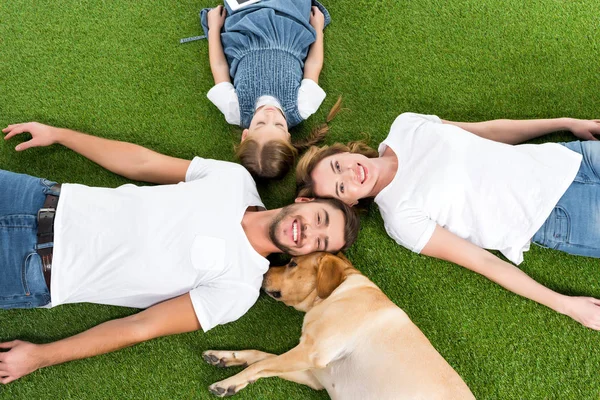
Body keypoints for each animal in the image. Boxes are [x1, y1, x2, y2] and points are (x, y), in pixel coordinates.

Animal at [204, 253, 476, 400]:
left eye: (292, 263)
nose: (263, 269)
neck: (335, 293)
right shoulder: (314, 374)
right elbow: (259, 356)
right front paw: (225, 357)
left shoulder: (311, 353)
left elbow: (260, 365)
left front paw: (227, 383)